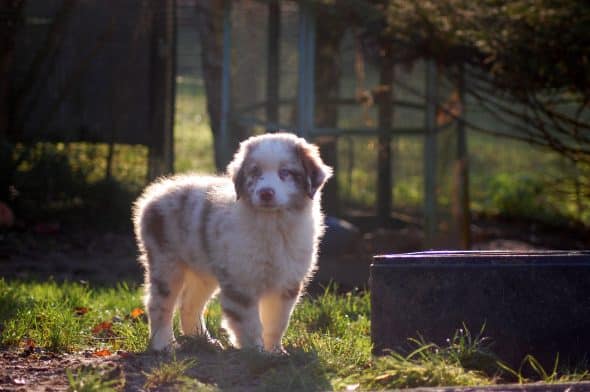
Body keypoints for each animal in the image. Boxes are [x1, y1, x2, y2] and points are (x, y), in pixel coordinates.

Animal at [133, 133, 332, 354]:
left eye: (285, 172)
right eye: (255, 172)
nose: (266, 193)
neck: (272, 224)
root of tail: (154, 194)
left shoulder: (286, 283)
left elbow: (277, 322)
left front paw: (276, 352)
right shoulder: (241, 280)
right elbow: (249, 323)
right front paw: (256, 352)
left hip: (203, 272)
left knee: (189, 303)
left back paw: (203, 340)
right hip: (165, 263)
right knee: (159, 304)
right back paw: (164, 345)